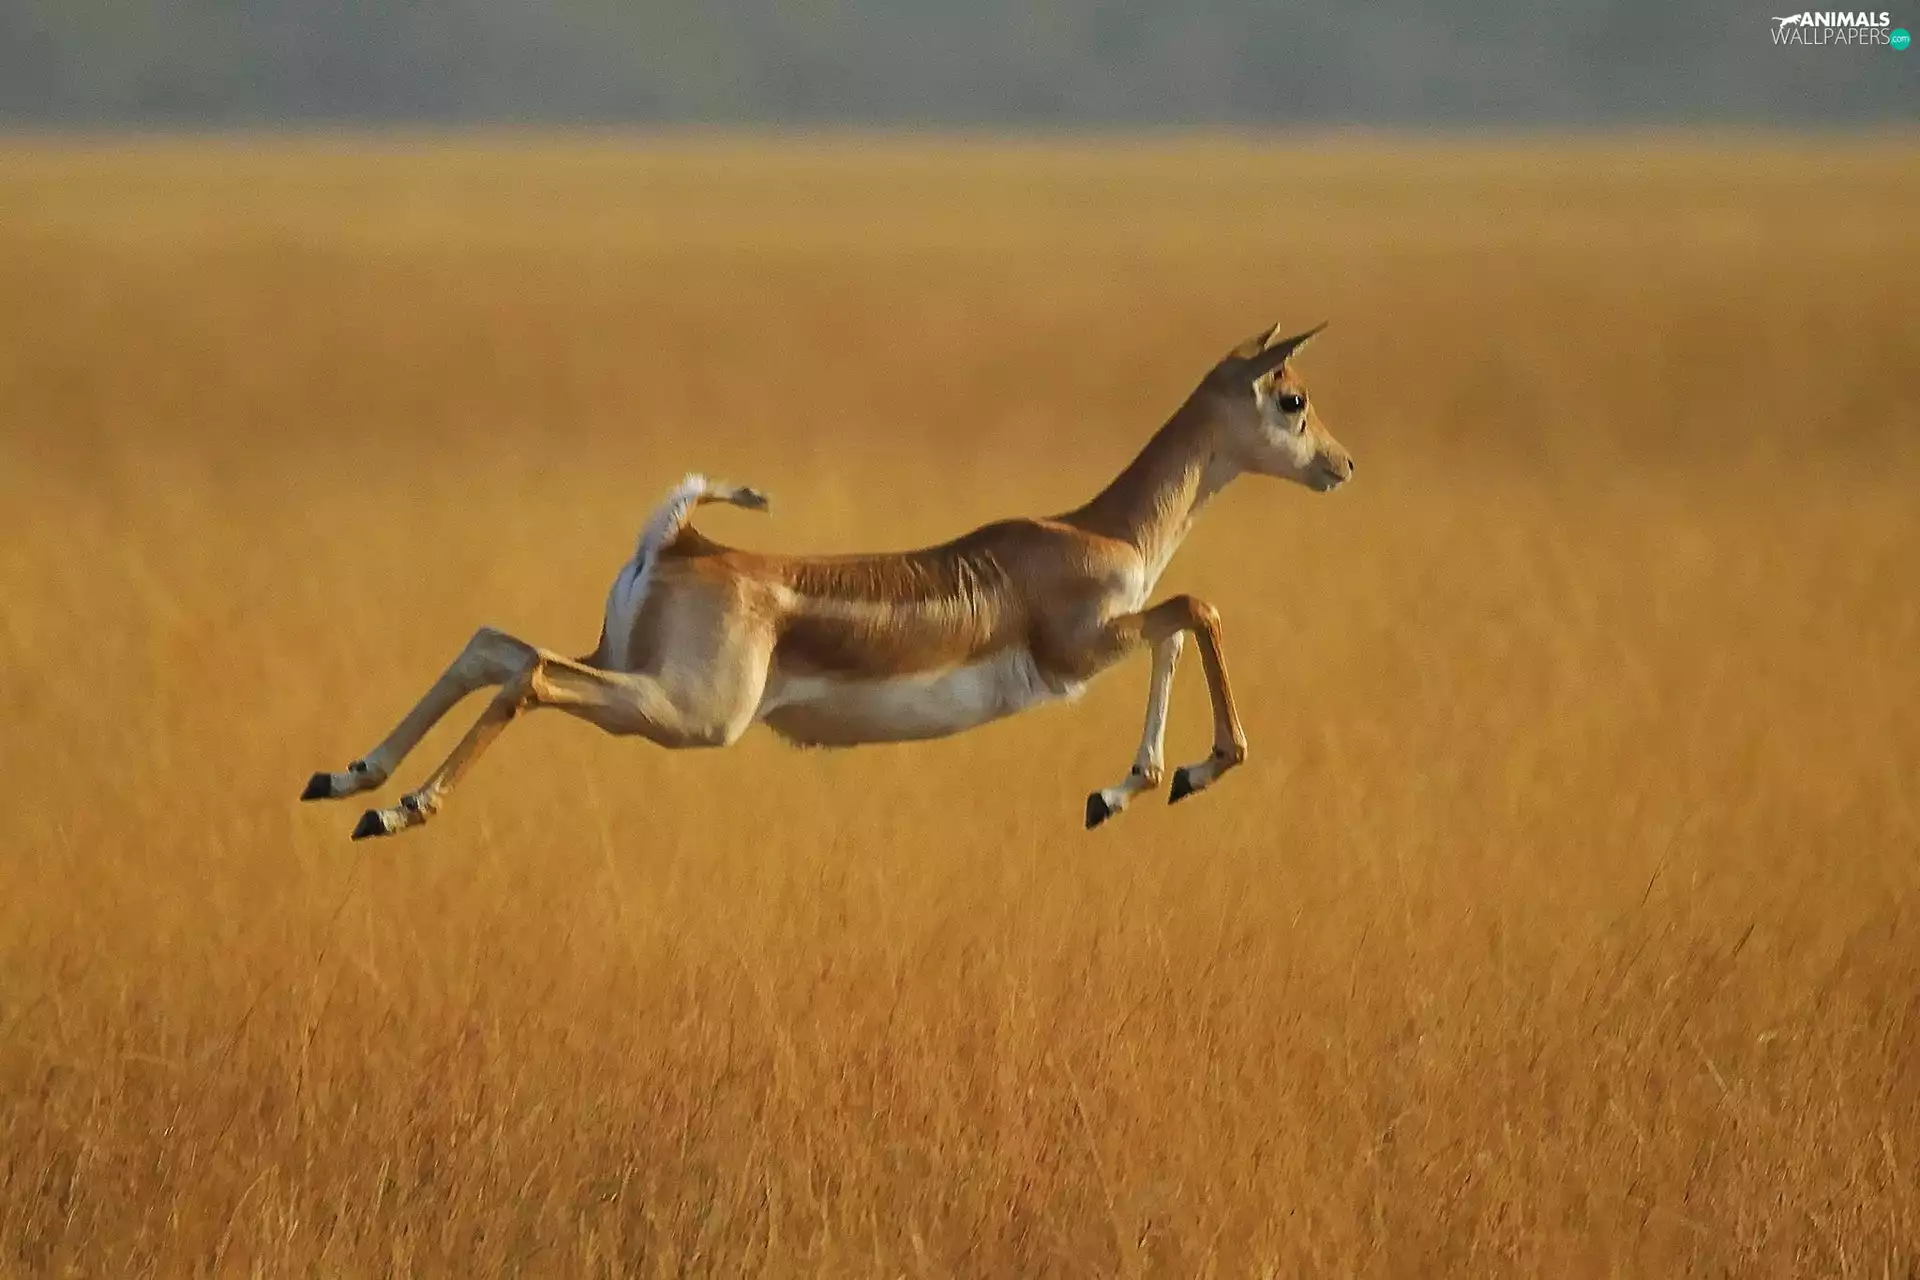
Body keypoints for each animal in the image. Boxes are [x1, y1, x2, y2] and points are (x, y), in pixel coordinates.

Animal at [301, 322, 1353, 839]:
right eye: (1293, 398)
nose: (1343, 465)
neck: (1095, 529)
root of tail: (678, 537)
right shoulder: (1084, 646)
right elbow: (1197, 609)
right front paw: (1193, 769)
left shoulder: (1116, 636)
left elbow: (1177, 626)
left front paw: (1128, 788)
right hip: (686, 713)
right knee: (532, 675)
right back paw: (399, 811)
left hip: (628, 668)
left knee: (494, 647)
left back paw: (348, 779)